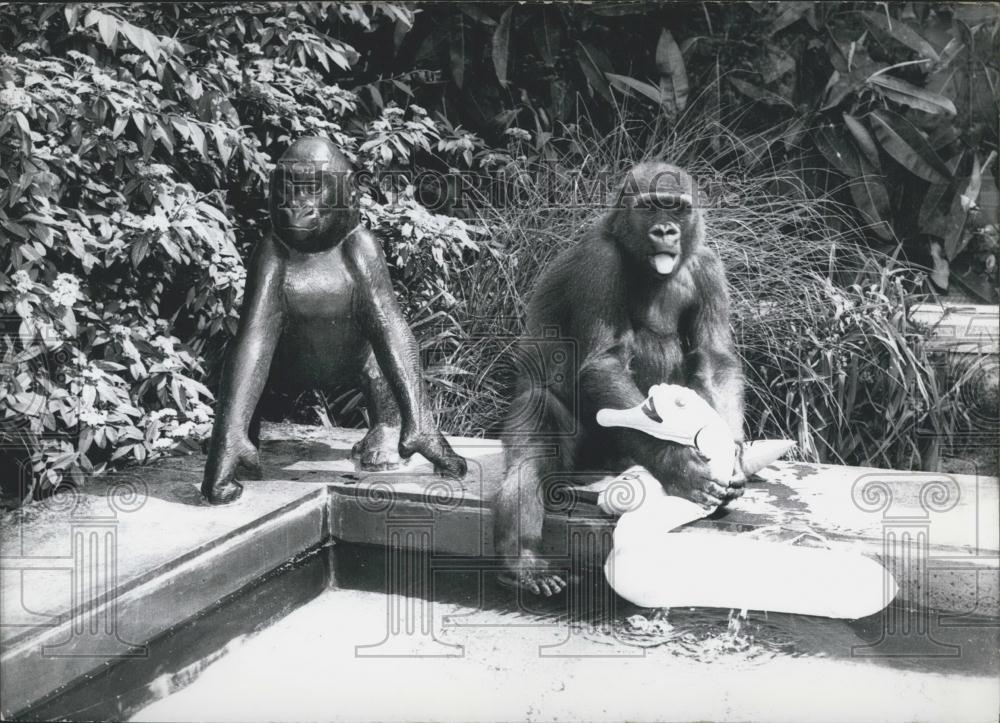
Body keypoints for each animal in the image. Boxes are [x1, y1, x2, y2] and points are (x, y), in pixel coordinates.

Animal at [206, 139, 468, 506]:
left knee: (380, 370)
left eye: (314, 187)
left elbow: (390, 329)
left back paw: (384, 443)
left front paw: (427, 441)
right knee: (249, 379)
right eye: (289, 185)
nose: (297, 208)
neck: (318, 248)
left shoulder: (366, 248)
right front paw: (228, 454)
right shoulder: (266, 253)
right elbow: (252, 342)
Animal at [496, 163, 748, 592]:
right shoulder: (601, 262)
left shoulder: (708, 267)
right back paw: (522, 557)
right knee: (532, 454)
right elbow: (604, 362)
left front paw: (730, 450)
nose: (665, 230)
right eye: (649, 208)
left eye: (676, 208)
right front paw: (676, 464)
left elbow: (714, 358)